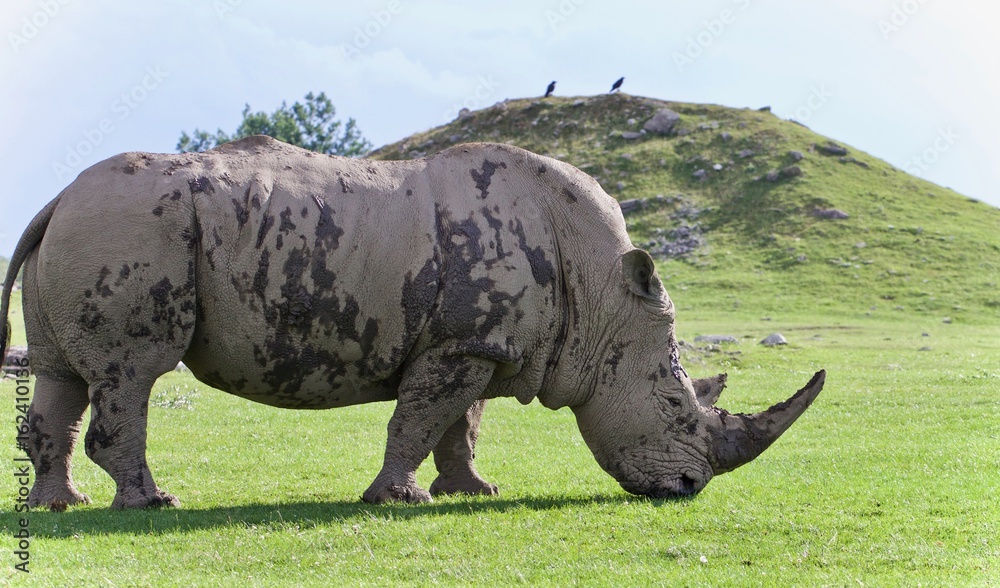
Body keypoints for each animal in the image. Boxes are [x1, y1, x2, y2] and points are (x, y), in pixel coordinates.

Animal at [0, 136, 824, 509]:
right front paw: (401, 500)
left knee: (62, 374)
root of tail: (56, 198)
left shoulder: (482, 342)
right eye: (676, 406)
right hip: (130, 228)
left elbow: (460, 422)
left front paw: (472, 491)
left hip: (94, 229)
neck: (603, 299)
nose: (687, 487)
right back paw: (153, 503)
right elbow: (420, 418)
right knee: (133, 371)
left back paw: (60, 505)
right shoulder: (461, 341)